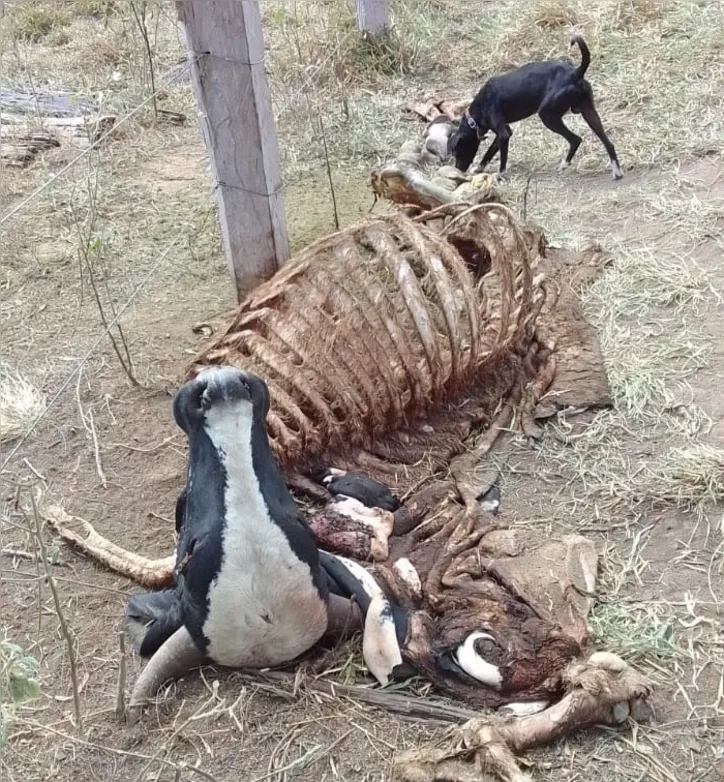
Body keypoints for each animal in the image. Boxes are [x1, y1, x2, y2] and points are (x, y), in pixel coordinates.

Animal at [446, 36, 624, 181]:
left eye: (457, 152)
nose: (458, 170)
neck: (476, 114)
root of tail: (575, 73)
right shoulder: (504, 132)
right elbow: (489, 153)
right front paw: (479, 168)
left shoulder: (503, 134)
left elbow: (501, 159)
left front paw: (500, 174)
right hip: (589, 112)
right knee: (608, 143)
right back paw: (616, 171)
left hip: (548, 116)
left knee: (575, 139)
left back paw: (565, 164)